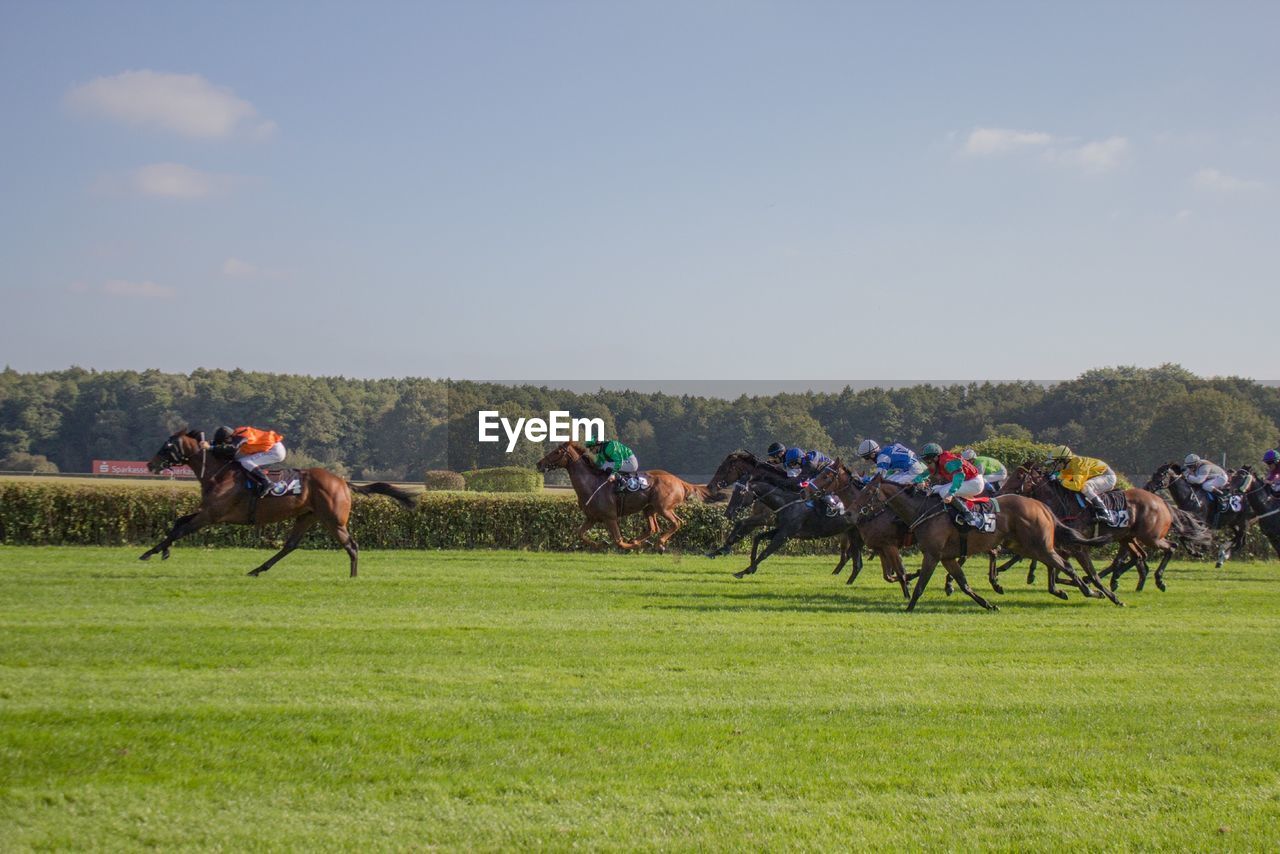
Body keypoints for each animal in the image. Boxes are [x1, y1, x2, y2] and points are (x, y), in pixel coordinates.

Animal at [140, 430, 419, 578]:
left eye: (166, 446)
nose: (150, 465)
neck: (218, 473)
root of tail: (342, 481)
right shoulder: (207, 511)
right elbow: (179, 522)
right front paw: (162, 551)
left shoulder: (212, 515)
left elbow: (180, 529)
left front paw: (149, 552)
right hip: (307, 515)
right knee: (290, 545)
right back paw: (258, 569)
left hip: (333, 520)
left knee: (351, 545)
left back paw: (352, 576)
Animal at [532, 445, 706, 550]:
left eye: (557, 452)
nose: (539, 464)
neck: (591, 484)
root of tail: (680, 481)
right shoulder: (592, 518)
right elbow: (579, 533)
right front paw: (600, 543)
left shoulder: (610, 517)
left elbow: (619, 541)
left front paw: (629, 545)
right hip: (649, 509)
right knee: (653, 528)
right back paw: (640, 540)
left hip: (664, 507)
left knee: (677, 522)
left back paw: (659, 543)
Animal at [844, 478, 1116, 612]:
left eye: (867, 493)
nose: (849, 513)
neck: (922, 510)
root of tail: (1041, 506)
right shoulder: (947, 557)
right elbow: (964, 584)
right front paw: (988, 604)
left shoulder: (932, 554)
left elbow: (920, 584)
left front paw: (908, 607)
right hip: (1024, 546)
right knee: (1060, 563)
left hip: (1039, 545)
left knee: (1066, 565)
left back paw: (1095, 591)